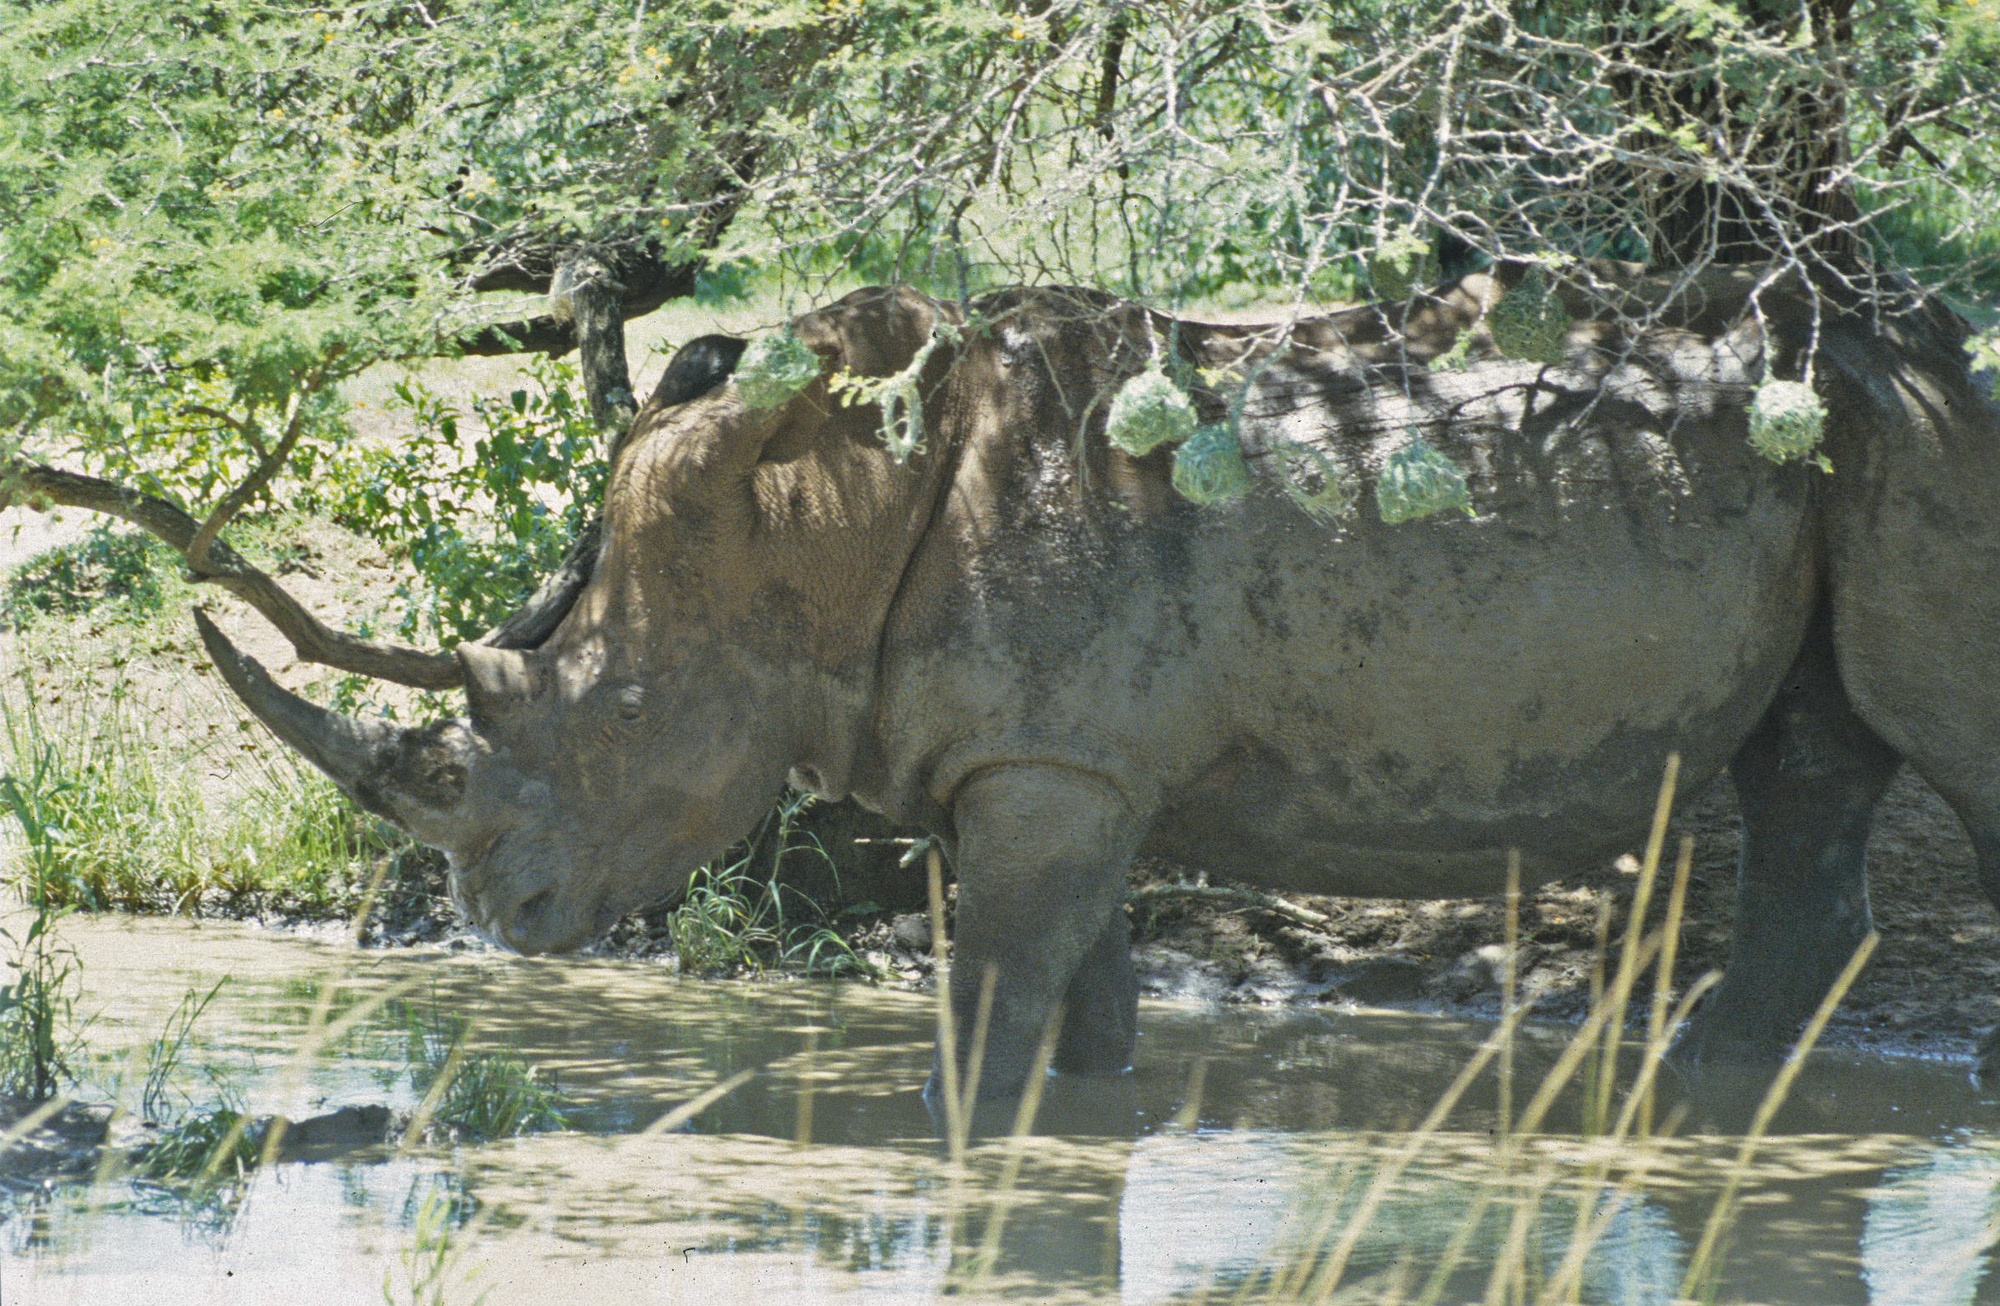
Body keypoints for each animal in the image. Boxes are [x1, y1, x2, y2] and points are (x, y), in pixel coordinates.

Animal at [195, 275, 2000, 1100]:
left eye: (613, 721)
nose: (497, 917)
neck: (811, 527)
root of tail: (1936, 353)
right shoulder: (1057, 757)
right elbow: (1081, 998)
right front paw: (1083, 1114)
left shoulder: (1051, 767)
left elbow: (993, 1003)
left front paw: (963, 1127)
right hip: (1846, 461)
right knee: (1809, 765)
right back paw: (1710, 1092)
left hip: (1925, 444)